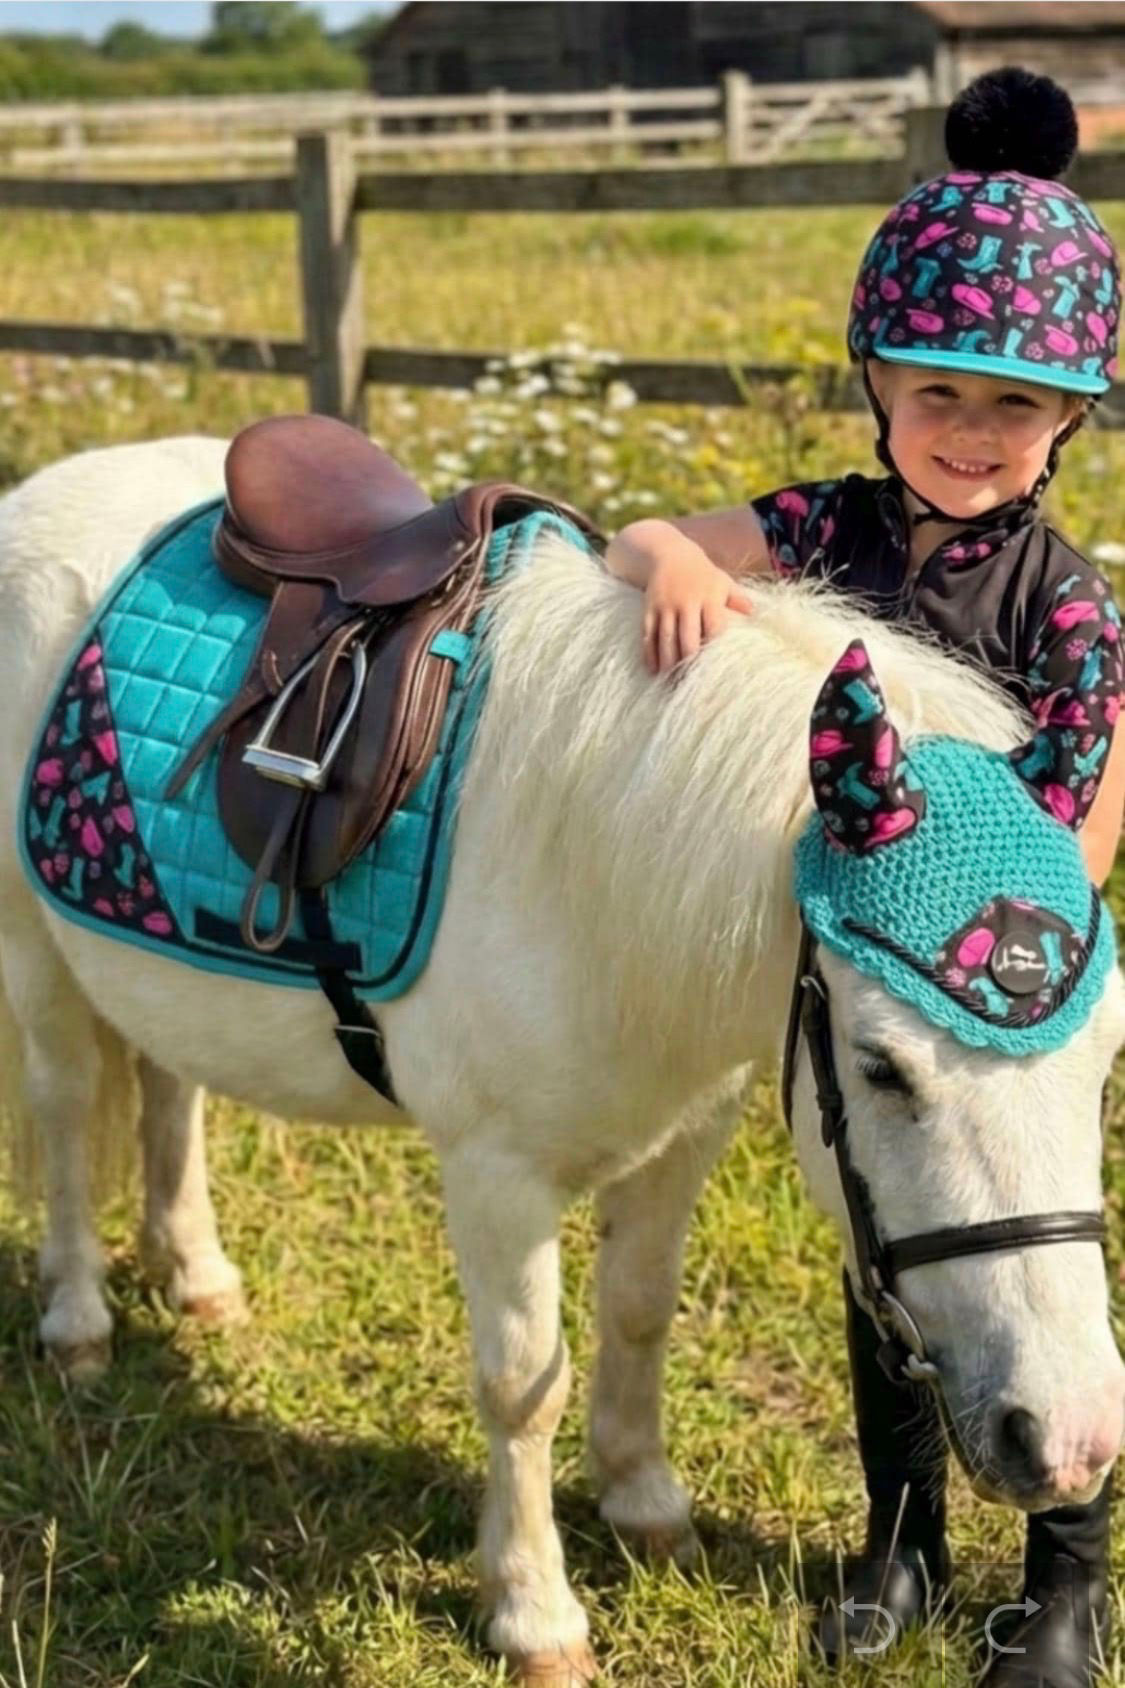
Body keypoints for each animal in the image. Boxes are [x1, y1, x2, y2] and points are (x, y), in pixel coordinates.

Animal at [0, 436, 1122, 1688]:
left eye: (1103, 1060)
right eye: (882, 1066)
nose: (1069, 1435)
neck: (588, 855)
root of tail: (56, 485)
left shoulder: (686, 1132)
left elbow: (639, 1310)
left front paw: (643, 1501)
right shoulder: (496, 1175)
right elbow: (523, 1381)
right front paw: (535, 1612)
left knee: (169, 1087)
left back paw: (197, 1274)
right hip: (34, 948)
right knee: (63, 1106)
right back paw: (79, 1320)